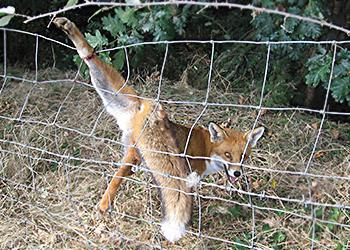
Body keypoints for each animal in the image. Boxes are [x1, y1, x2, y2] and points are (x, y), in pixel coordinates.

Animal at [54, 17, 262, 242]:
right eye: (227, 155)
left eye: (243, 157)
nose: (237, 173)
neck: (206, 149)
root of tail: (147, 104)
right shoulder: (190, 173)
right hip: (137, 153)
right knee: (119, 176)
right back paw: (105, 204)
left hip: (129, 140)